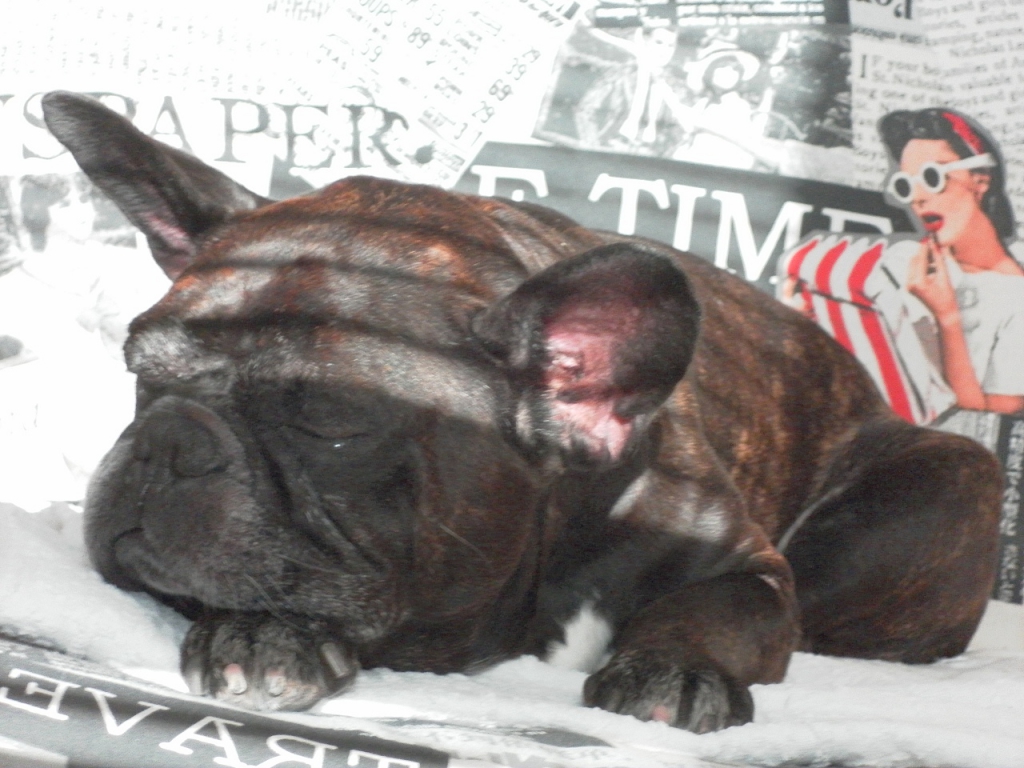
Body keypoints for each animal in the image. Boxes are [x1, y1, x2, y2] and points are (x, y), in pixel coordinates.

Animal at [41, 91, 1002, 733]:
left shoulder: (754, 570)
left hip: (943, 481)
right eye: (141, 374)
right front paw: (265, 630)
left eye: (334, 420)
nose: (166, 440)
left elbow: (719, 611)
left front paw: (671, 667)